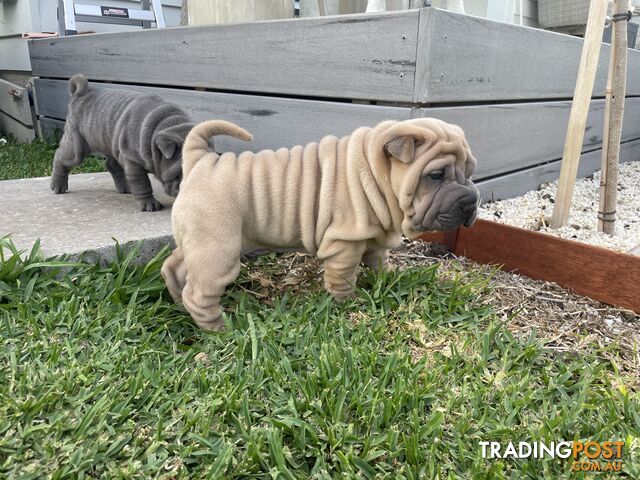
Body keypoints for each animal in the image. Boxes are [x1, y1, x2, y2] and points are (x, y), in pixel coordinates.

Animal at [162, 118, 478, 332]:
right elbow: (344, 276)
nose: (471, 202)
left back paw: (178, 301)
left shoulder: (373, 232)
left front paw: (389, 277)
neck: (375, 172)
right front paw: (349, 302)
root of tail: (199, 161)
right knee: (199, 293)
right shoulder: (345, 243)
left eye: (470, 171)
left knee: (175, 267)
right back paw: (220, 330)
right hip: (217, 249)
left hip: (199, 242)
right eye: (436, 176)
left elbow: (378, 258)